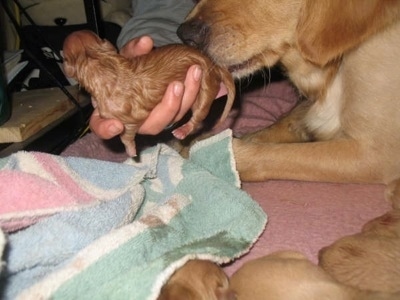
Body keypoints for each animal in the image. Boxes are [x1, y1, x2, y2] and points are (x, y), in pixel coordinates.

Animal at [62, 30, 234, 157]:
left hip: (205, 82)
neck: (100, 62)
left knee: (199, 113)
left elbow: (127, 135)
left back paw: (182, 130)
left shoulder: (129, 116)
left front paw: (131, 152)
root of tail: (213, 64)